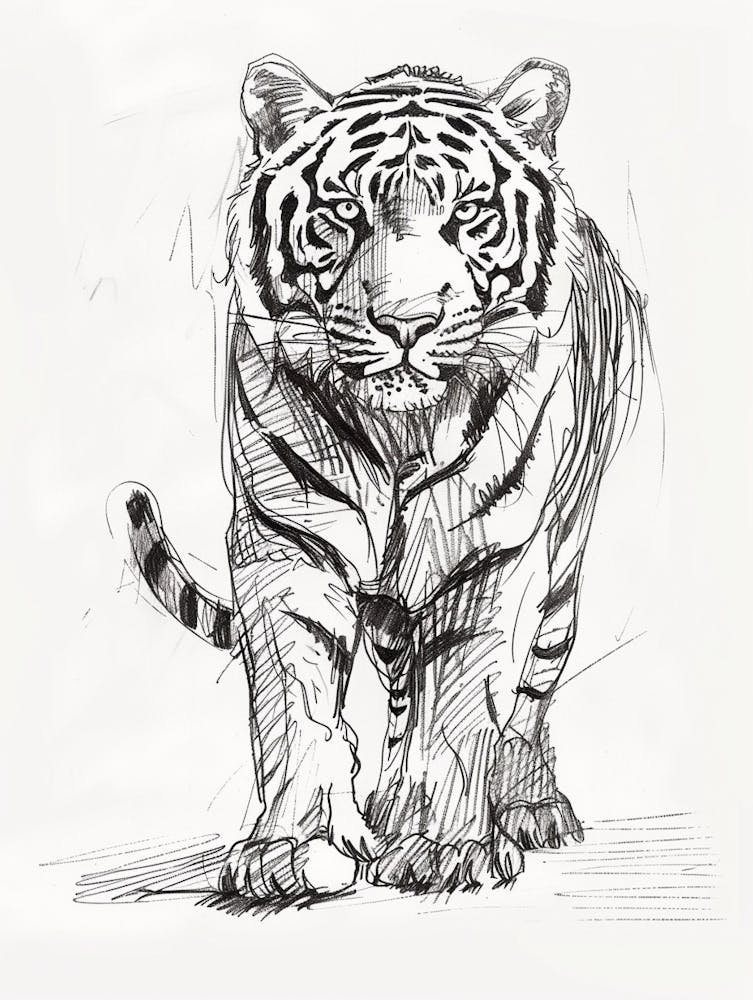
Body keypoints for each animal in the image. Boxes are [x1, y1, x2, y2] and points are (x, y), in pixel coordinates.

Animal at [123, 54, 647, 898]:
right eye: (342, 212)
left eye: (469, 215)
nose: (406, 323)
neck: (399, 433)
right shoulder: (284, 539)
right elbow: (295, 706)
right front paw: (288, 852)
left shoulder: (483, 556)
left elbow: (464, 704)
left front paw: (450, 851)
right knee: (402, 698)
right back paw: (392, 810)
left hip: (561, 554)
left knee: (531, 681)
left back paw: (527, 807)